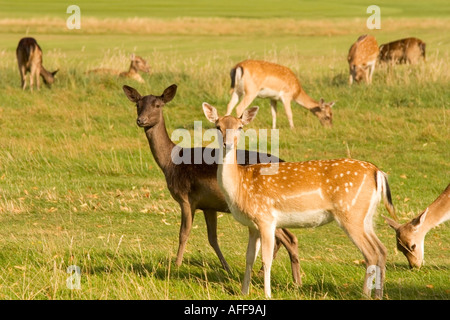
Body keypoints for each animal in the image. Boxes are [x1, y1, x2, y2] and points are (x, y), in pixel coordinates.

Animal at [121, 84, 300, 284]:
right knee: (285, 237)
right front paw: (227, 268)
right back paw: (264, 273)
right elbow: (212, 238)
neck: (170, 163)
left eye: (158, 105)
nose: (141, 120)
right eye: (138, 104)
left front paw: (176, 265)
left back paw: (293, 280)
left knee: (288, 238)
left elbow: (184, 233)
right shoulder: (209, 205)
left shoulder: (186, 197)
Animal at [203, 103, 398, 300]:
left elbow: (266, 259)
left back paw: (365, 294)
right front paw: (244, 292)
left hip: (351, 213)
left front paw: (267, 294)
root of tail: (378, 172)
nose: (228, 144)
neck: (240, 186)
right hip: (366, 216)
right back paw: (378, 294)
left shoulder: (266, 218)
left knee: (371, 253)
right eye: (217, 126)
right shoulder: (252, 225)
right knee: (381, 249)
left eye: (240, 127)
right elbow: (249, 257)